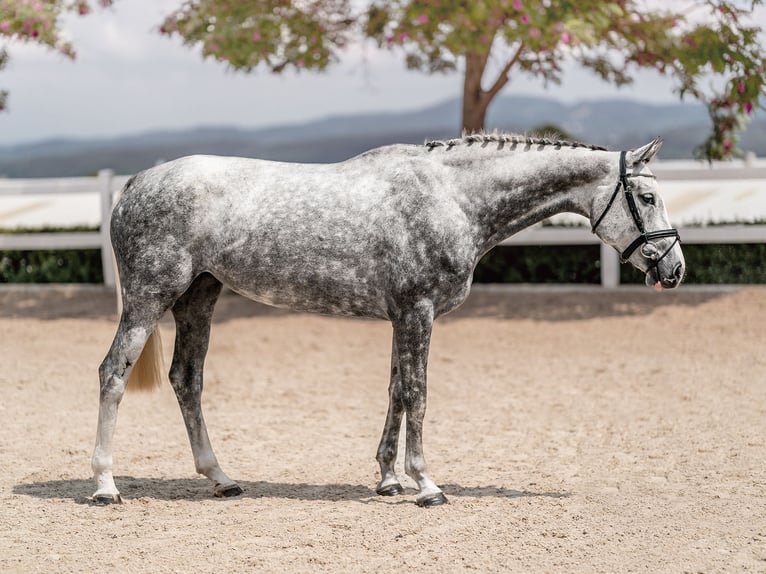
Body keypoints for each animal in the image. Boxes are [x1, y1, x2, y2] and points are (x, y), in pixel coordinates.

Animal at [91, 134, 684, 507]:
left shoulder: (402, 317)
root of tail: (136, 184)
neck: (451, 198)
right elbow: (418, 393)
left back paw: (221, 478)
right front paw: (426, 485)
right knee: (113, 374)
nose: (674, 268)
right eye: (647, 195)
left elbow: (397, 390)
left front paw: (389, 479)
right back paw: (105, 486)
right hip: (149, 298)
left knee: (186, 380)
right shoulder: (418, 312)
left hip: (199, 297)